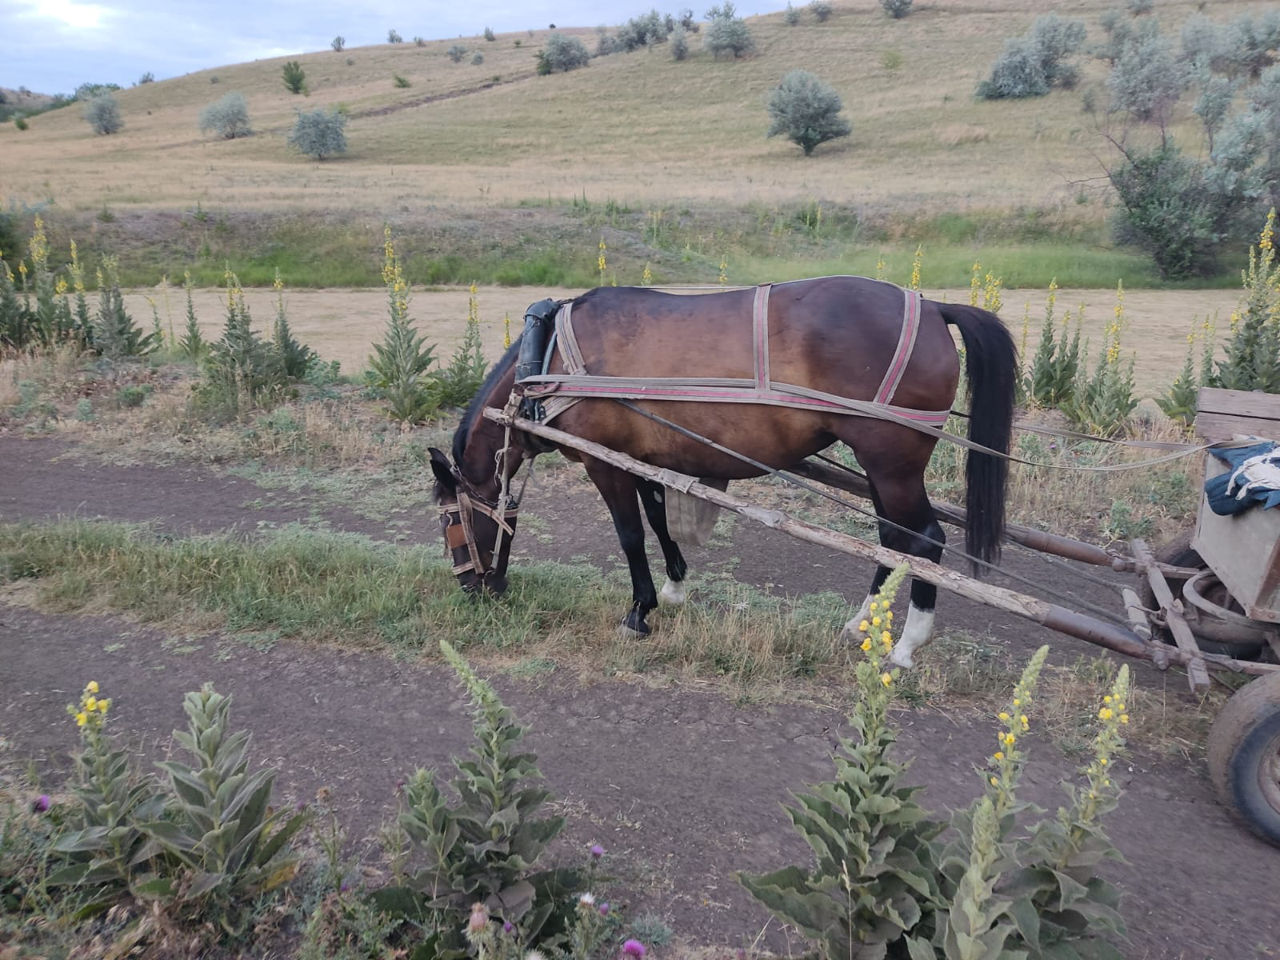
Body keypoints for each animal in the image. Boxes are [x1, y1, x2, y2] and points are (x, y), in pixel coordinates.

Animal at [430, 276, 1018, 670]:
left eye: (448, 521)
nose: (472, 588)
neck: (547, 357)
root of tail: (933, 306)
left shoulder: (605, 461)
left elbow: (629, 534)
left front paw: (638, 611)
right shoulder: (645, 456)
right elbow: (659, 520)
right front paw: (672, 589)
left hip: (891, 463)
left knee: (926, 540)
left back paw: (907, 644)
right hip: (882, 469)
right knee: (892, 540)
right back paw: (861, 624)